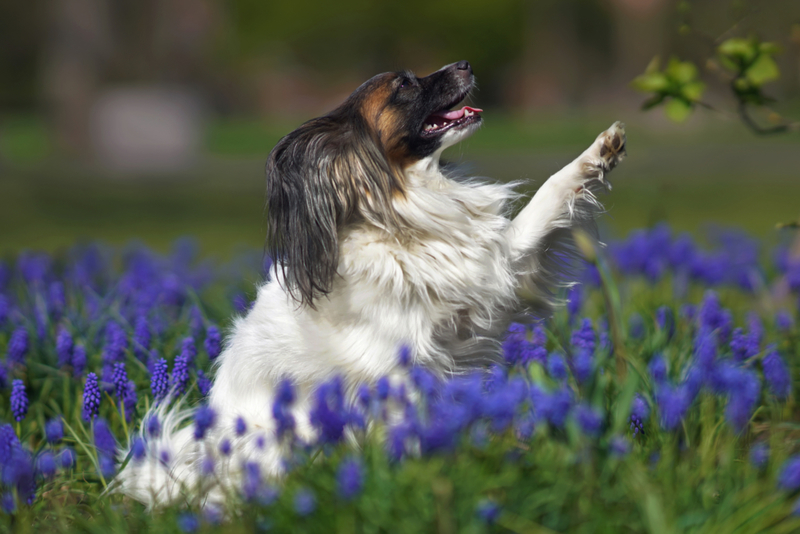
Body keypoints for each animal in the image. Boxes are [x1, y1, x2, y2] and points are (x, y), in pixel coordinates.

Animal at [114, 60, 624, 508]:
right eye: (403, 84)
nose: (466, 63)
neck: (399, 217)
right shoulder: (398, 368)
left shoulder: (495, 275)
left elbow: (549, 196)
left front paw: (600, 152)